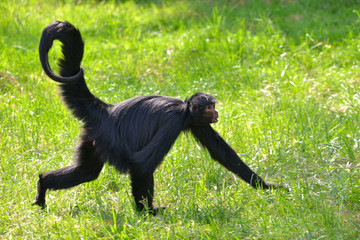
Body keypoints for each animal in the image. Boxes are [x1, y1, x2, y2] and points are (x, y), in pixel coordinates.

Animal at [33, 21, 282, 215]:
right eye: (210, 107)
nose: (216, 113)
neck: (185, 108)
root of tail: (107, 111)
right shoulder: (174, 121)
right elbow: (142, 163)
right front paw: (146, 212)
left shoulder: (195, 122)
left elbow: (222, 153)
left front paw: (265, 186)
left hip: (93, 138)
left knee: (87, 172)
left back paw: (43, 183)